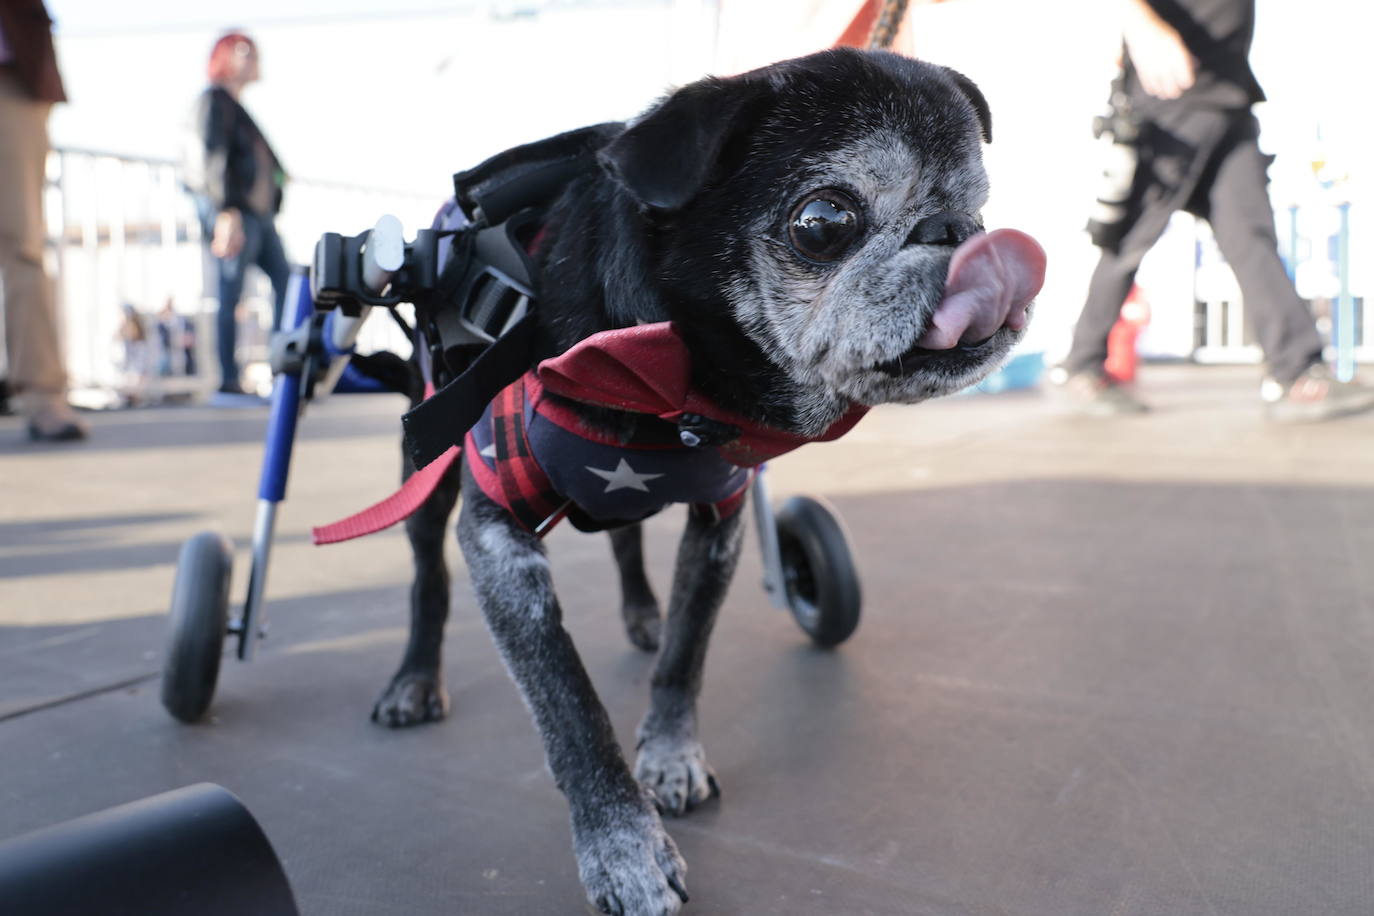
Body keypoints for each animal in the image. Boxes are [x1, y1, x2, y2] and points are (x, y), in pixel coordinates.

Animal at [365, 46, 1038, 911]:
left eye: (978, 209)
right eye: (825, 221)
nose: (956, 233)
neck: (654, 371)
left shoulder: (718, 518)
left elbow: (687, 652)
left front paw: (671, 755)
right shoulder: (499, 541)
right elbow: (569, 709)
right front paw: (623, 847)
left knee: (624, 547)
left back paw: (641, 614)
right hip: (428, 475)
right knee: (427, 578)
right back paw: (414, 680)